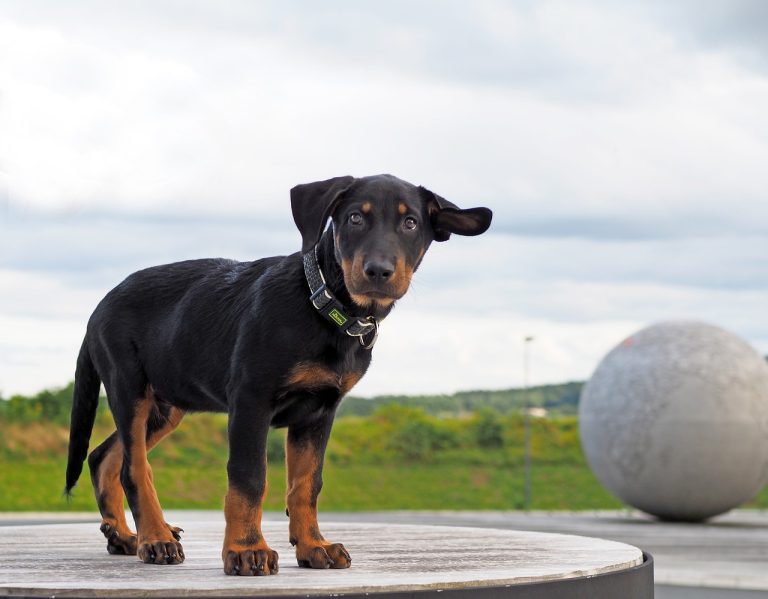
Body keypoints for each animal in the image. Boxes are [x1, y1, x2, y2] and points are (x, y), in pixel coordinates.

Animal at [63, 175, 488, 576]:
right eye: (355, 218)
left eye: (411, 223)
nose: (378, 271)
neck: (323, 306)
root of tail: (98, 308)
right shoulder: (251, 402)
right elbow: (249, 480)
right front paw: (246, 550)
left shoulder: (319, 412)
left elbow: (307, 485)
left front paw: (314, 546)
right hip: (129, 387)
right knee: (134, 468)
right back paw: (154, 539)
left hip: (167, 404)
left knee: (104, 457)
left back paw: (125, 536)